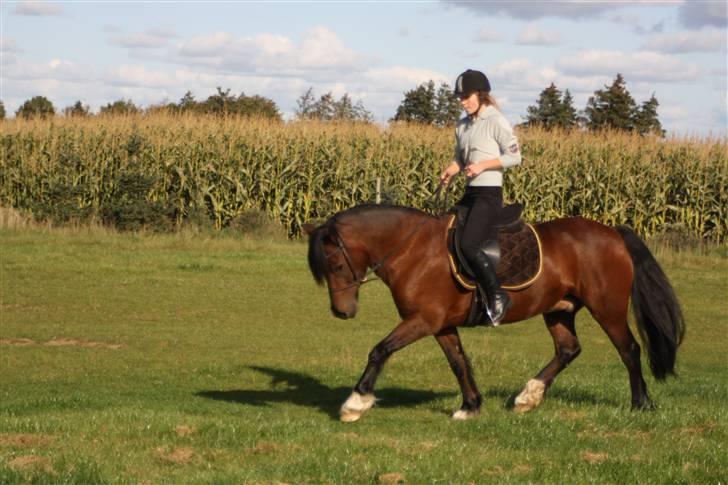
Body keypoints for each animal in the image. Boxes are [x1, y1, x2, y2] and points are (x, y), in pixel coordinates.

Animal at [300, 202, 684, 422]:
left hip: (607, 308)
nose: (341, 312)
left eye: (335, 263)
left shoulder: (422, 320)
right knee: (568, 349)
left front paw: (355, 402)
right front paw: (470, 406)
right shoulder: (440, 324)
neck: (412, 249)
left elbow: (379, 350)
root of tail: (613, 233)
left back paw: (640, 403)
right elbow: (458, 362)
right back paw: (528, 397)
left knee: (629, 349)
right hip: (558, 310)